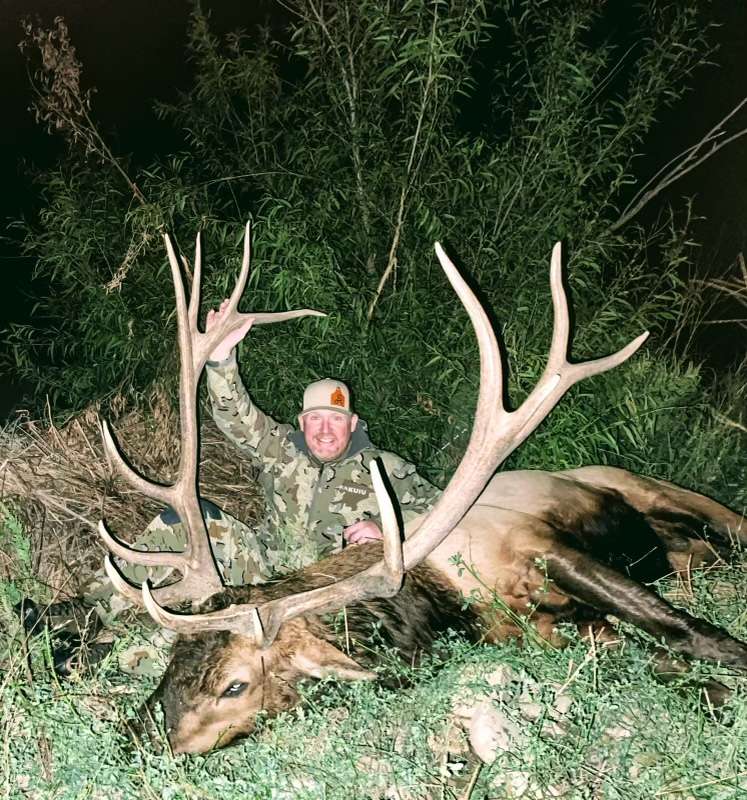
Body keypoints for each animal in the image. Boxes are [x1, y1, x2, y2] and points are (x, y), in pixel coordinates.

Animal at [98, 223, 746, 754]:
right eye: (172, 665)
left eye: (234, 685)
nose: (135, 737)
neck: (440, 602)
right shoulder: (537, 636)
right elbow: (648, 657)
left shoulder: (539, 545)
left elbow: (686, 630)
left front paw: (729, 672)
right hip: (679, 548)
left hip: (645, 486)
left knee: (720, 522)